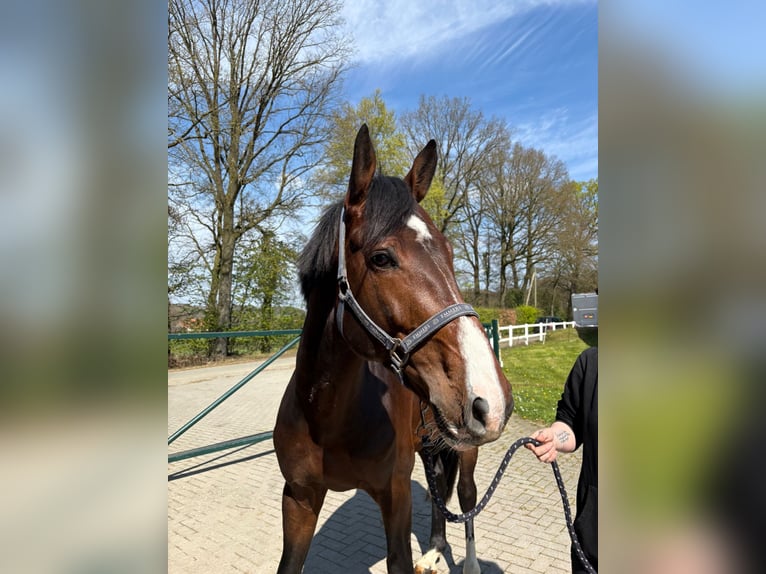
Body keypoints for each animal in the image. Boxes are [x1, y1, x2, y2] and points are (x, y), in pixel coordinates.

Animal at [274, 124, 513, 574]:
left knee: (466, 498)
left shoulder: (396, 497)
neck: (327, 417)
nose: (491, 397)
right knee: (439, 490)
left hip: (466, 451)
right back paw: (434, 550)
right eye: (382, 258)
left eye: (450, 253)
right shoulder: (297, 499)